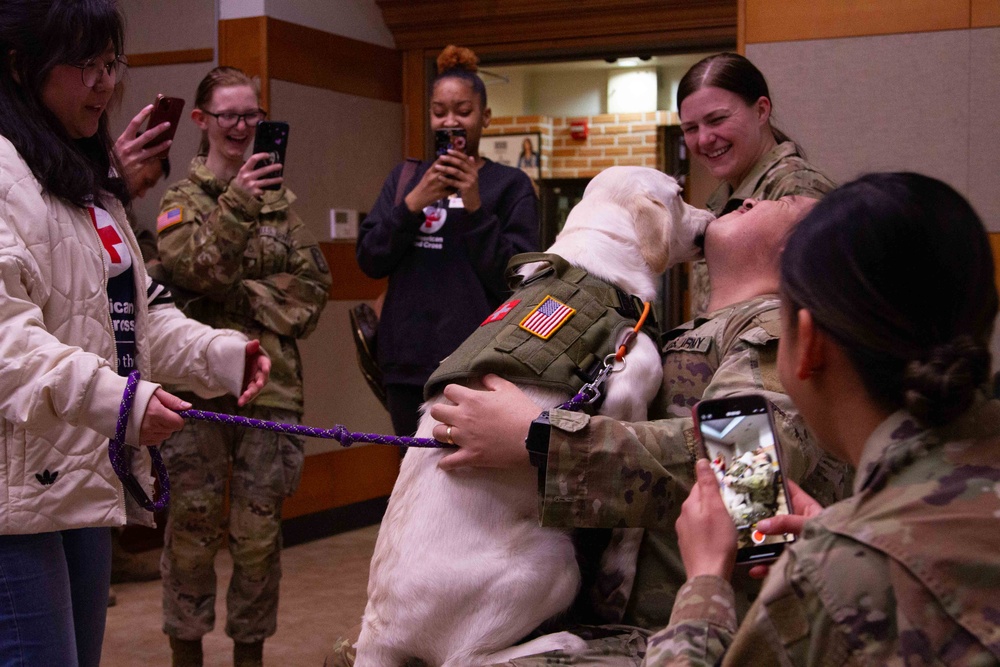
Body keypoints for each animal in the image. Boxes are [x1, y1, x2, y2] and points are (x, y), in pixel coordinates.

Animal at [352, 167, 712, 667]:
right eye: (679, 195)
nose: (712, 218)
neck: (599, 266)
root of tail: (377, 632)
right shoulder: (627, 397)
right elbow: (632, 520)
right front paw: (617, 579)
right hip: (554, 556)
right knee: (464, 658)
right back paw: (563, 640)